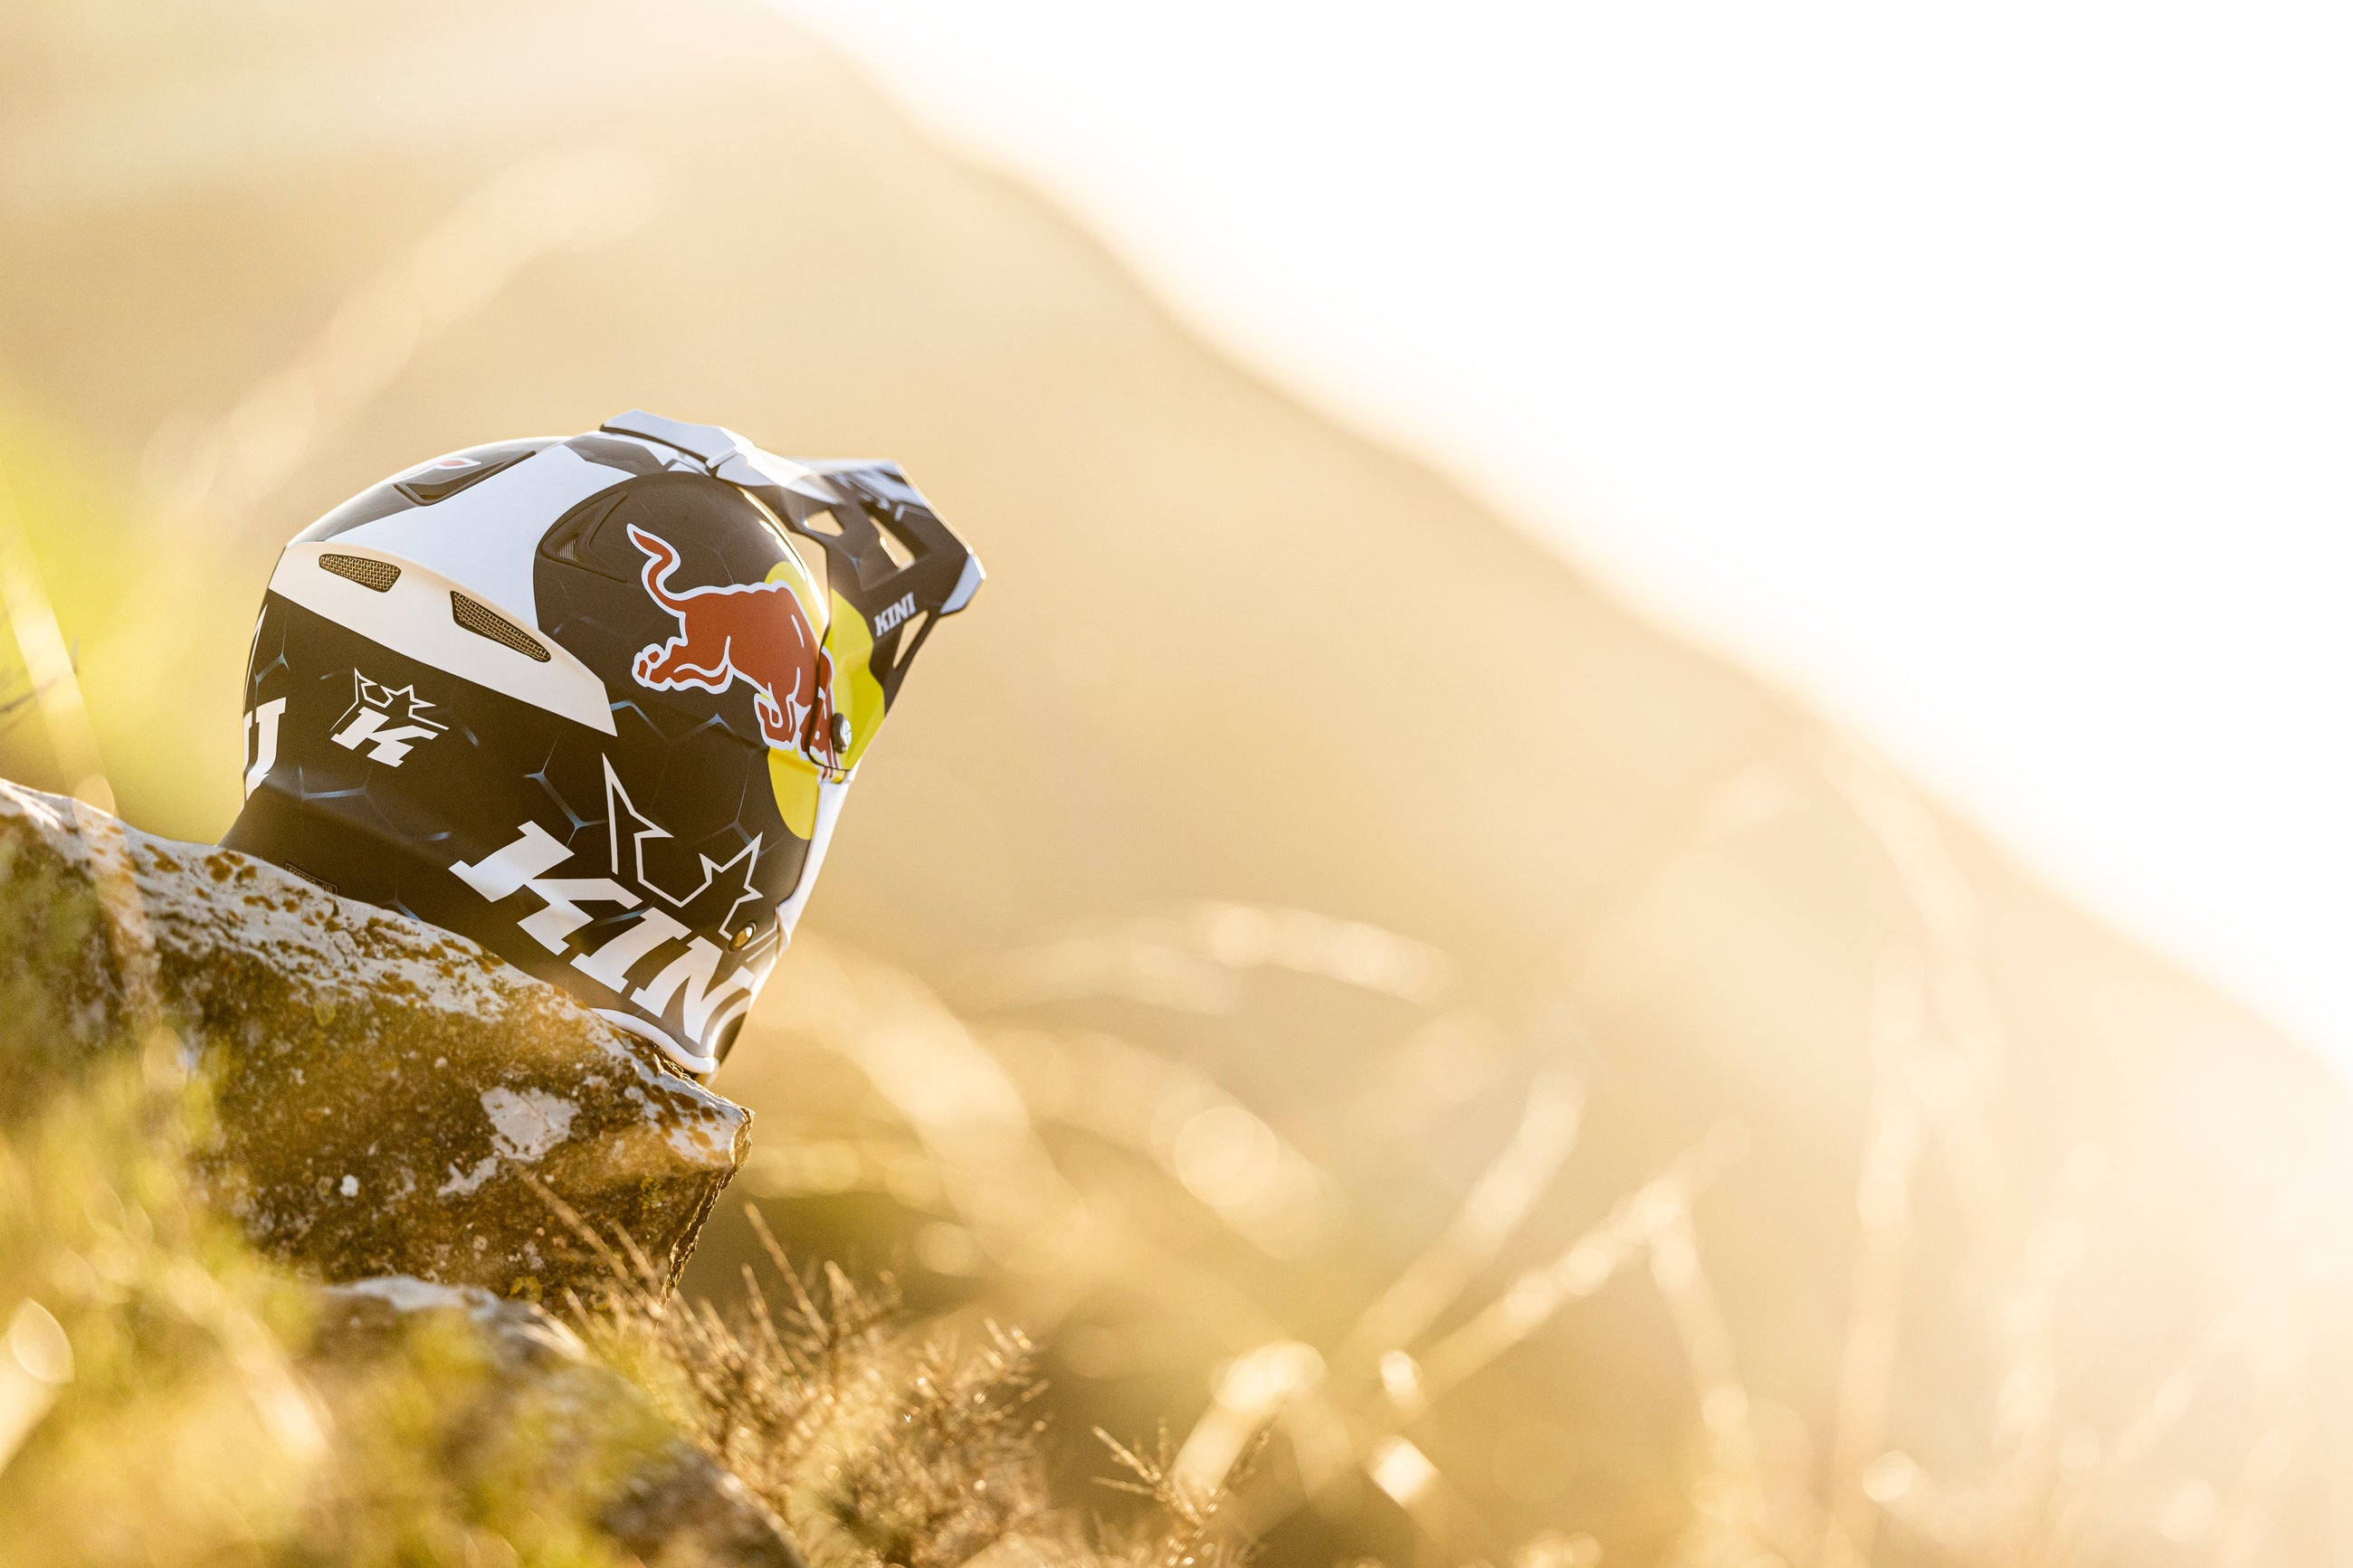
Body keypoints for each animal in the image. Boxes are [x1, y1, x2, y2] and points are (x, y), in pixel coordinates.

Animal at [626, 524, 846, 772]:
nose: (833, 764)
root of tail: (693, 600)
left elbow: (787, 721)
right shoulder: (782, 689)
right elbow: (787, 722)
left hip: (714, 654)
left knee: (708, 673)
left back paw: (658, 669)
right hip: (707, 652)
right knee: (680, 655)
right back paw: (654, 672)